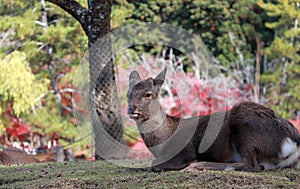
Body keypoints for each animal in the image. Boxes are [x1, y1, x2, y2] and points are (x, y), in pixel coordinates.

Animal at [126, 67, 300, 171]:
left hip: (245, 125)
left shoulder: (185, 151)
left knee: (253, 164)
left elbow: (154, 164)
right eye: (128, 94)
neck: (162, 145)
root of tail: (293, 142)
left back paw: (198, 165)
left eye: (148, 94)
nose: (131, 109)